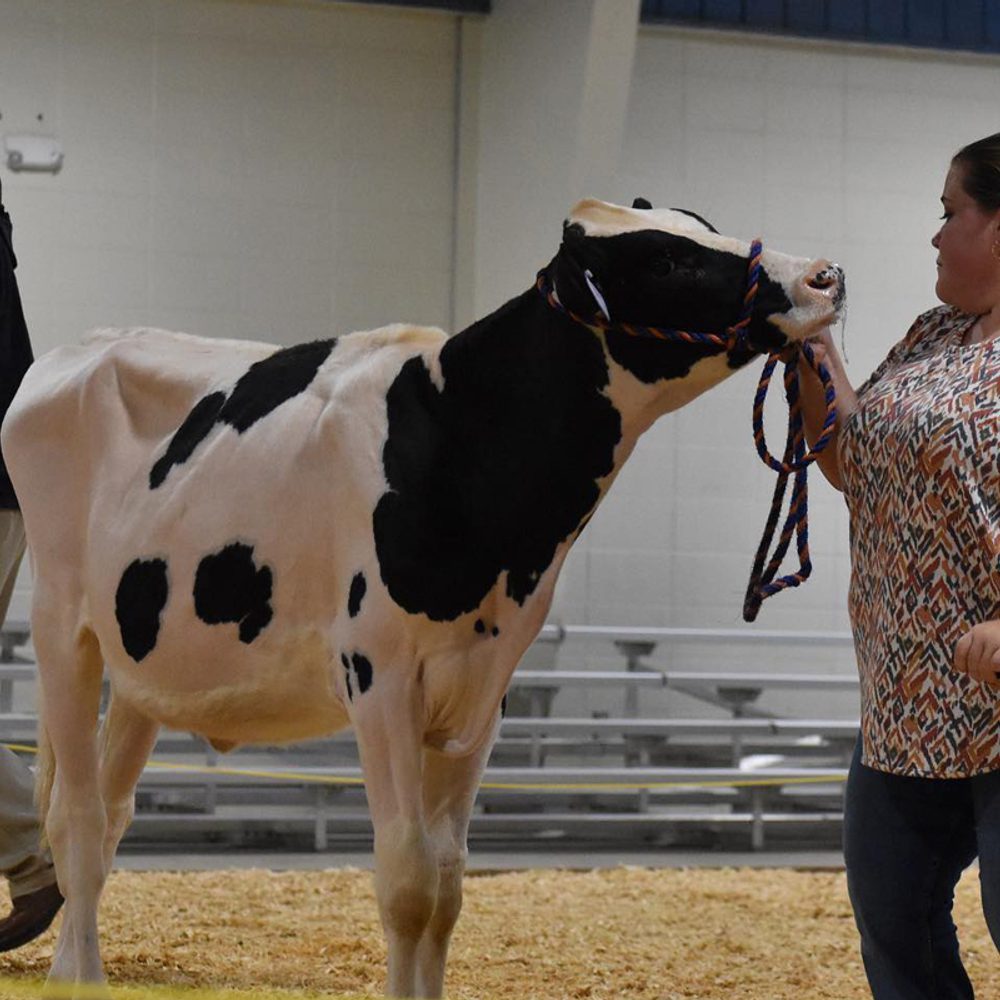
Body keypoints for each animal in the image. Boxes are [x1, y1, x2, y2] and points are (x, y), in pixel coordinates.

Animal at [1, 197, 844, 999]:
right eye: (666, 258)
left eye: (702, 225)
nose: (824, 276)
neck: (462, 434)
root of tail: (78, 351)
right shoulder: (380, 677)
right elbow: (407, 880)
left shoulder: (483, 691)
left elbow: (446, 884)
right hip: (62, 631)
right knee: (76, 820)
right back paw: (83, 979)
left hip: (144, 662)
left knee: (108, 815)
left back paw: (68, 971)